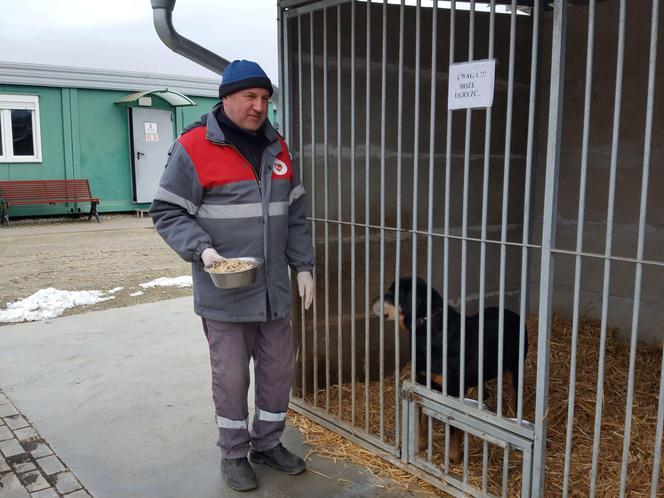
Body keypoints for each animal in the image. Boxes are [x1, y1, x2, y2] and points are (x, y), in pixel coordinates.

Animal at [374, 274, 528, 462]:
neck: (428, 327)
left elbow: (454, 427)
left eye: (392, 292)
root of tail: (517, 316)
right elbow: (422, 419)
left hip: (514, 368)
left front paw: (453, 456)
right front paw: (421, 445)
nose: (374, 300)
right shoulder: (423, 383)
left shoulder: (453, 389)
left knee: (514, 394)